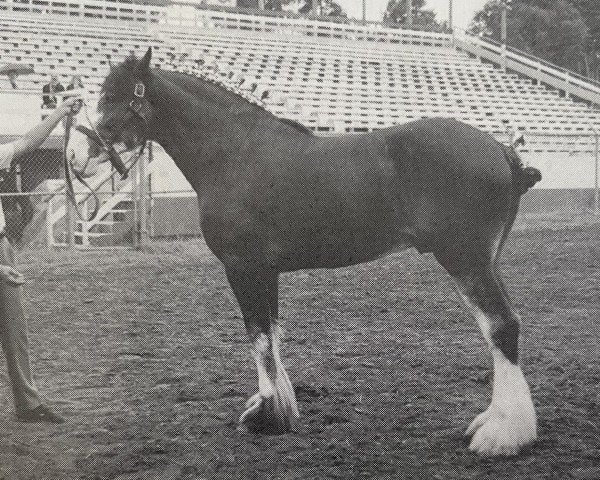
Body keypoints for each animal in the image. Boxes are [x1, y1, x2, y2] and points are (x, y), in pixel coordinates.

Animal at [67, 48, 544, 458]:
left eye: (113, 96)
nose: (74, 156)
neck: (232, 153)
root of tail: (501, 150)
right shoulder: (266, 272)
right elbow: (273, 336)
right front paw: (279, 410)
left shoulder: (244, 269)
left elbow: (259, 338)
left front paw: (265, 415)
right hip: (484, 261)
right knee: (505, 327)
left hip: (466, 259)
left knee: (500, 327)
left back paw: (502, 435)